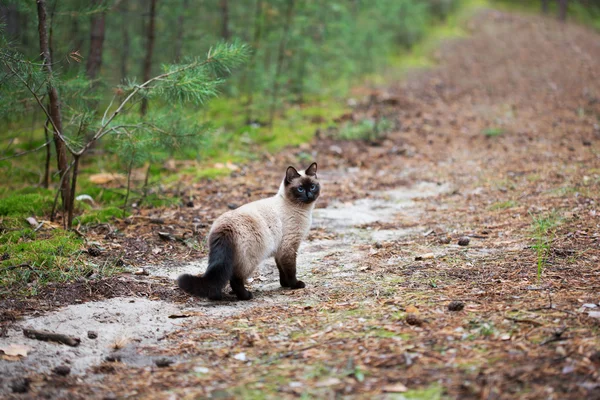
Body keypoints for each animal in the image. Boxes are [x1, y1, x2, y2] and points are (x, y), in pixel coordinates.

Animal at [177, 162, 322, 300]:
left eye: (312, 187)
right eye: (300, 189)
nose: (310, 195)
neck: (301, 209)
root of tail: (224, 226)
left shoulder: (280, 250)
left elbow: (281, 269)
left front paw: (285, 284)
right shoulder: (289, 246)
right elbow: (291, 270)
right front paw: (295, 285)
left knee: (219, 277)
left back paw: (215, 296)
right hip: (251, 259)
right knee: (235, 279)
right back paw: (246, 296)